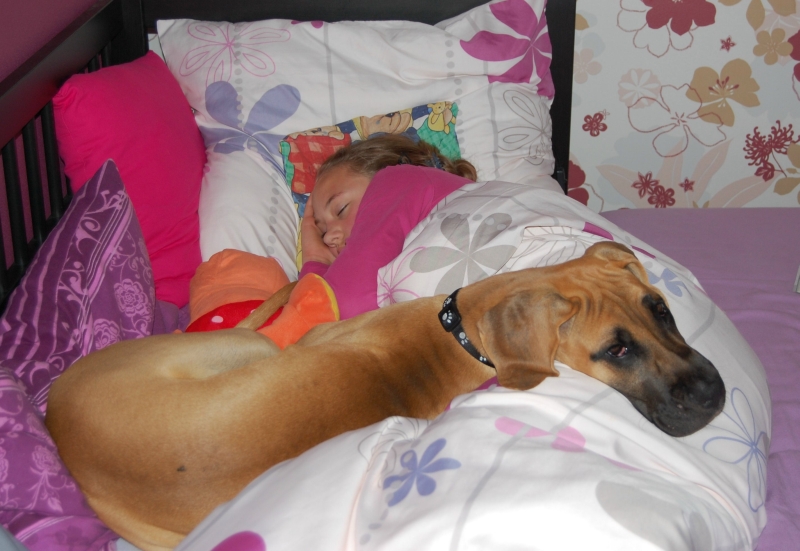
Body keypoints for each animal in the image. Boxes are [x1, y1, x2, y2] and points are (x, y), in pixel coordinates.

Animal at [45, 242, 725, 551]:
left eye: (660, 310)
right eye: (617, 349)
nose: (713, 395)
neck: (462, 334)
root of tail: (57, 419)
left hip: (242, 347)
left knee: (256, 327)